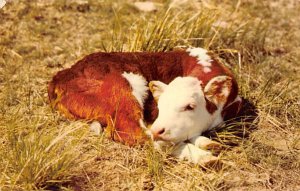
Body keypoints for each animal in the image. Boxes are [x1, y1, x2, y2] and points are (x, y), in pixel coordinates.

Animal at [48, 47, 241, 164]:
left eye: (190, 106)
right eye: (160, 105)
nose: (158, 129)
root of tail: (63, 74)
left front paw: (207, 142)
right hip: (123, 86)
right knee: (134, 132)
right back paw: (203, 157)